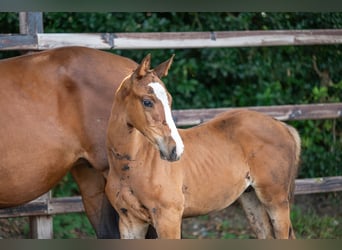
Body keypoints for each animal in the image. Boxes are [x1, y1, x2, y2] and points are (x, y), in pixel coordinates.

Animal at [105, 53, 300, 238]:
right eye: (147, 101)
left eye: (170, 100)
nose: (175, 150)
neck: (131, 165)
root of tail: (283, 126)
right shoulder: (130, 222)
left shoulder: (168, 218)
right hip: (251, 197)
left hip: (276, 201)